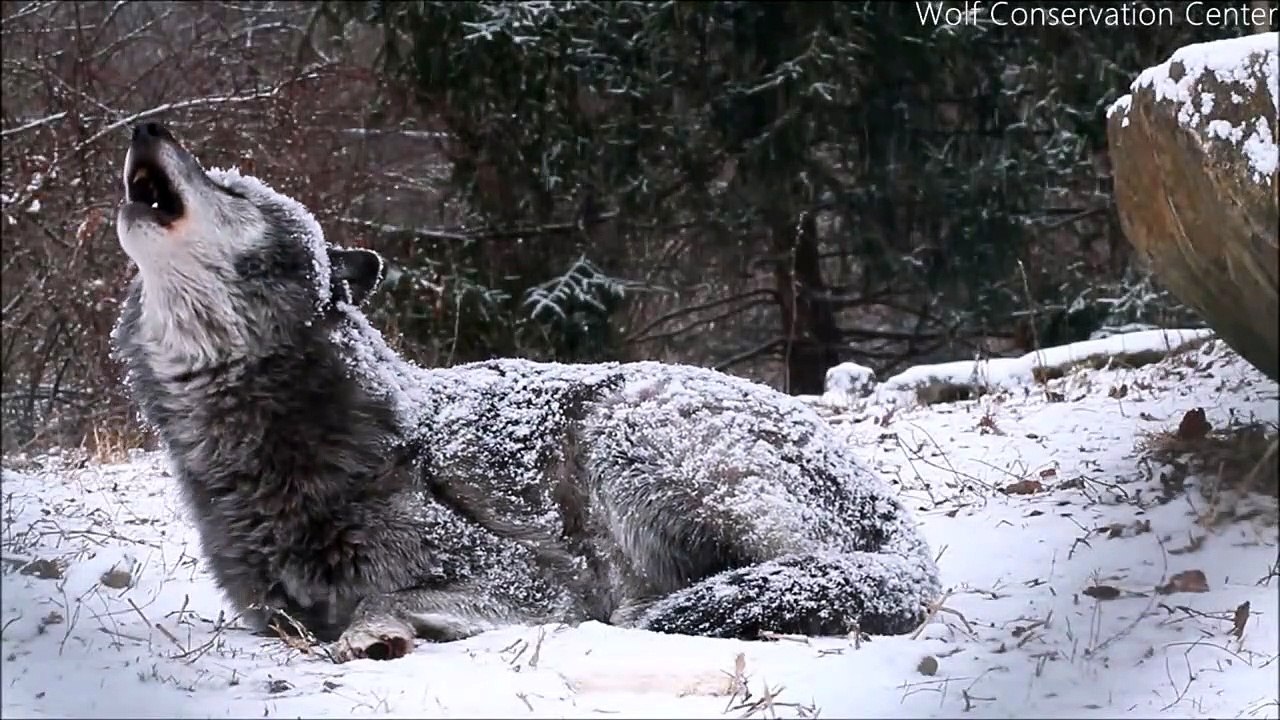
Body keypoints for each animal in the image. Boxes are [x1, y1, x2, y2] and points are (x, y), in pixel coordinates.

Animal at [111, 122, 942, 663]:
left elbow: (386, 600)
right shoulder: (271, 613)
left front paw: (373, 632)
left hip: (625, 432)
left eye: (230, 186)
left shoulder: (534, 581)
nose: (148, 126)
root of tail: (891, 515)